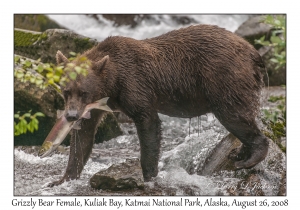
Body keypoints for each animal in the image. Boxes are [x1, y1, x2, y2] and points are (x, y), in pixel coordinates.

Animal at [50, 25, 268, 187]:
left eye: (84, 92)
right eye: (66, 91)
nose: (71, 115)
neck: (112, 83)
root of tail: (253, 52)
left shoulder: (135, 85)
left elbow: (148, 124)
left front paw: (149, 176)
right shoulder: (96, 106)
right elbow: (83, 137)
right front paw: (63, 179)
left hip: (224, 77)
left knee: (233, 115)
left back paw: (249, 157)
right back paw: (240, 152)